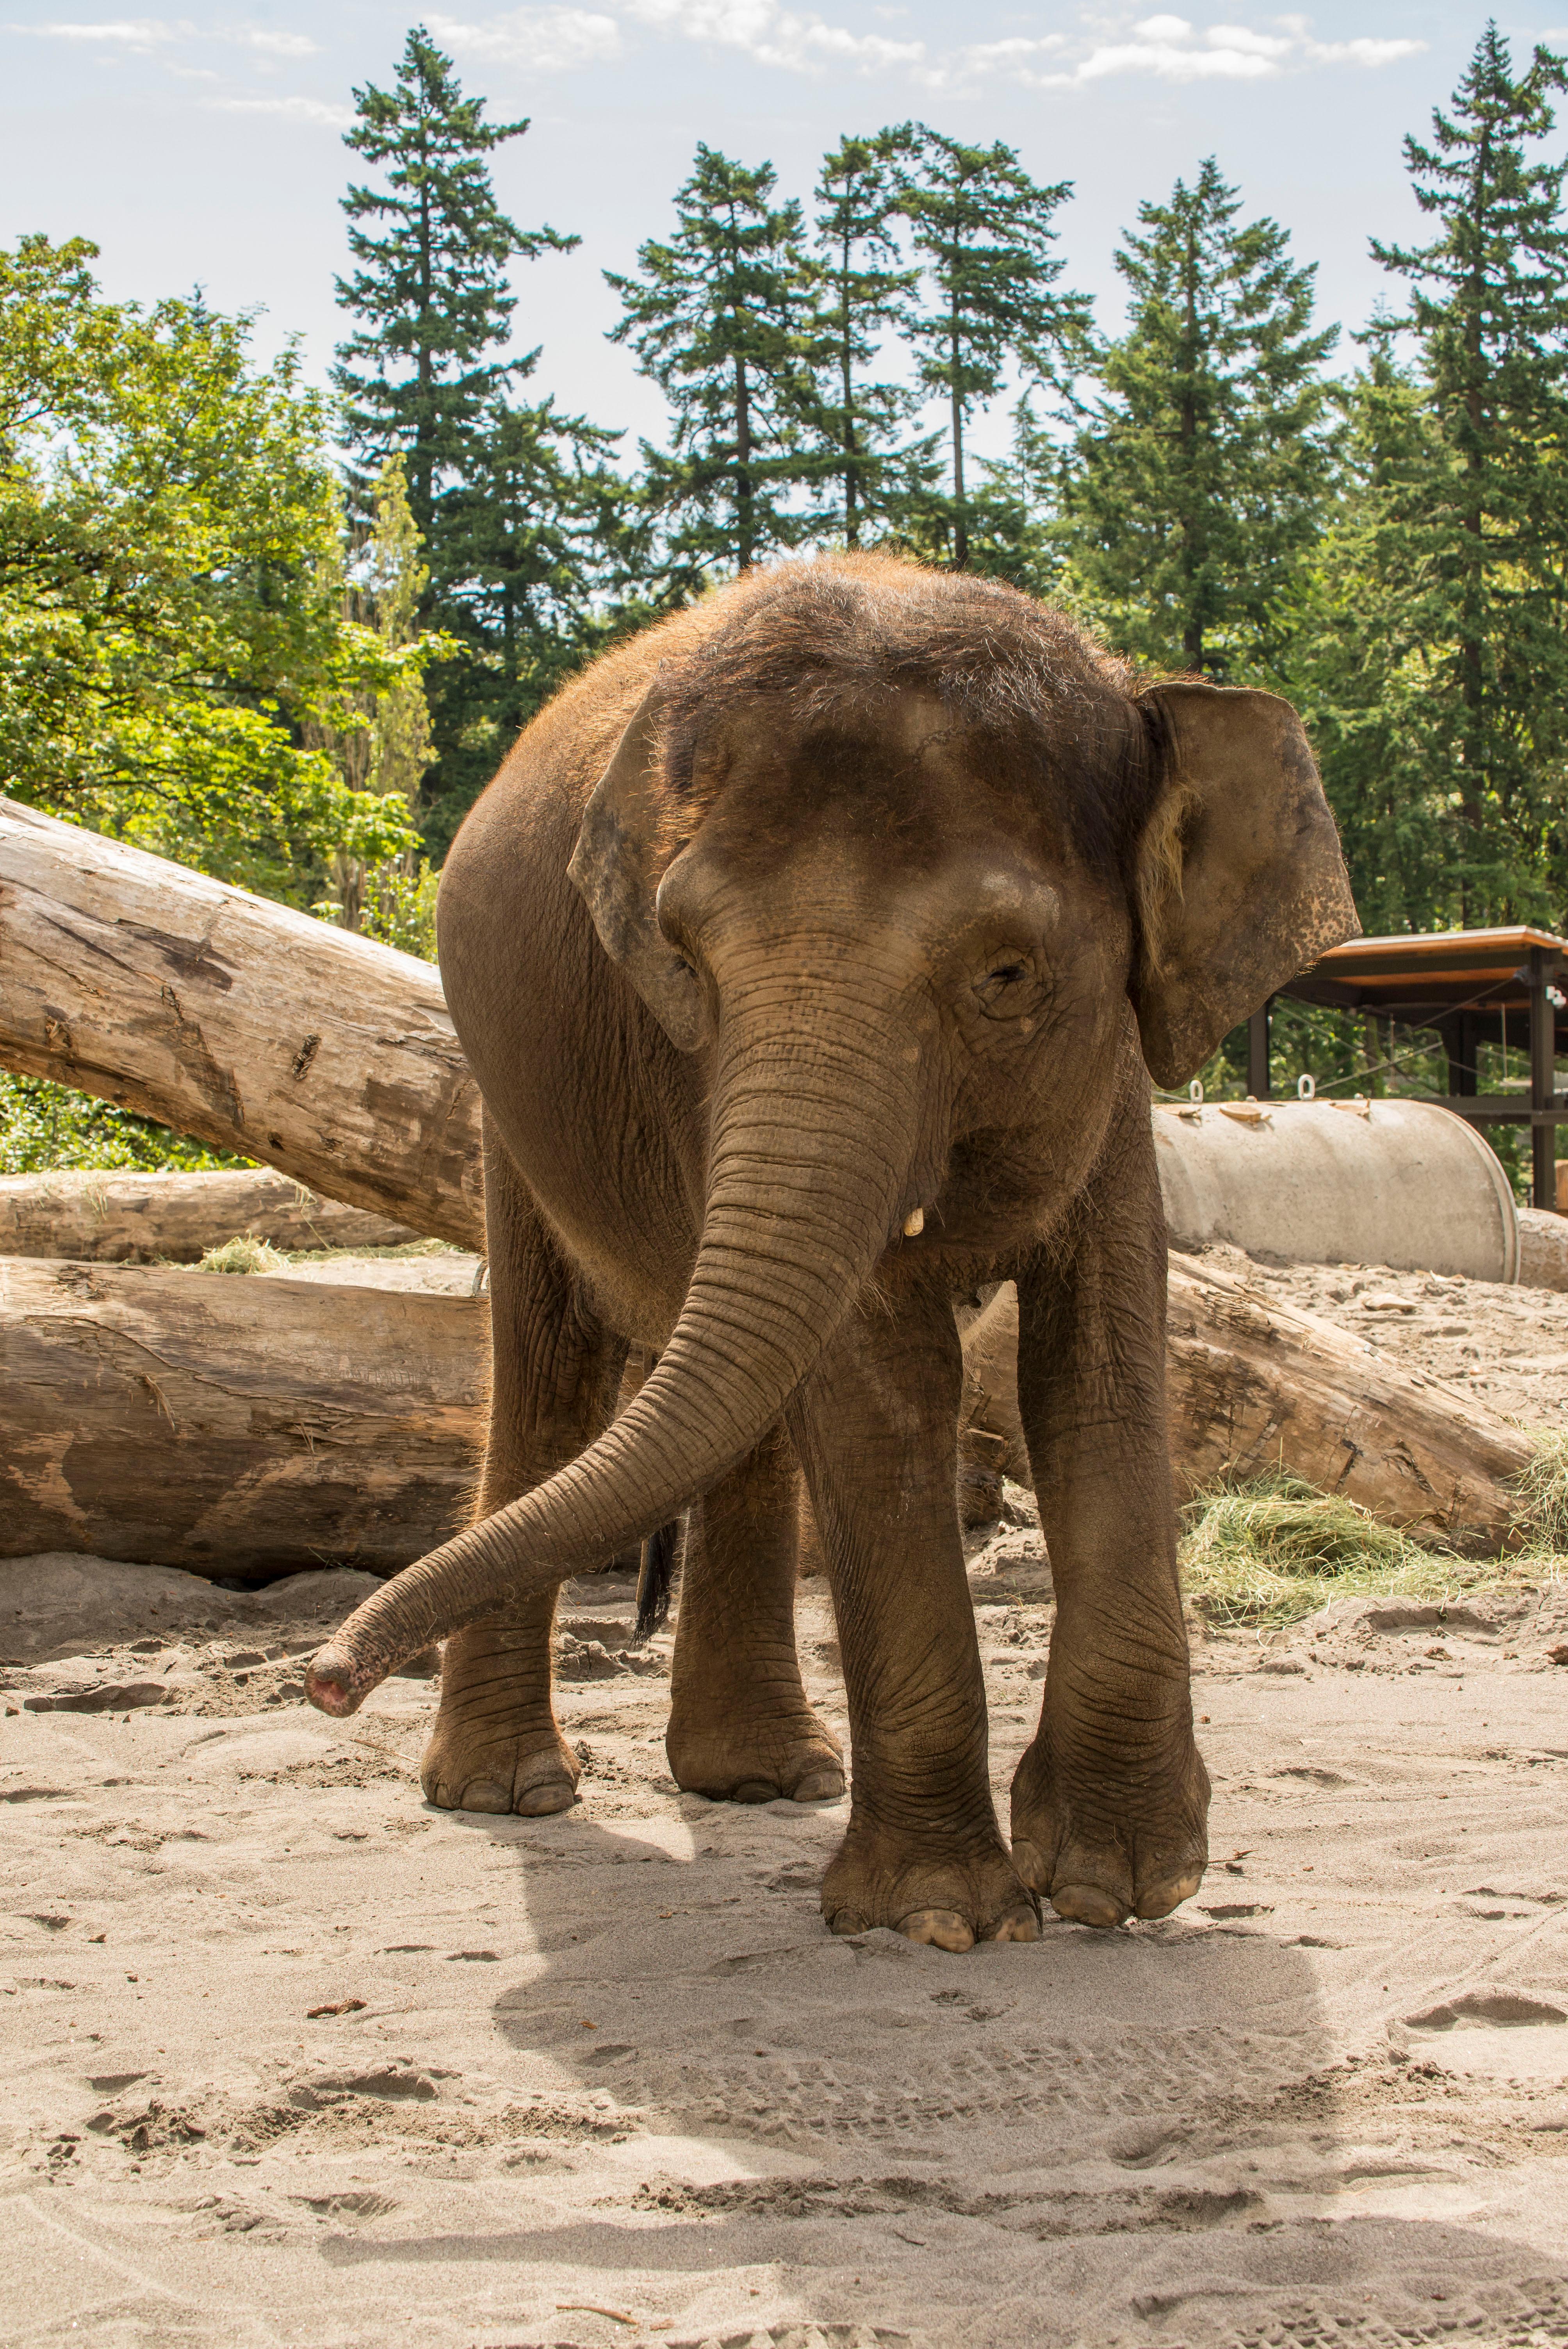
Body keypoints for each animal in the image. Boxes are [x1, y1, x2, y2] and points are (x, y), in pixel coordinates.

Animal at [310, 549, 1361, 1945]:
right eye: (681, 955)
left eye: (1009, 974)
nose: (322, 1677)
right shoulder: (689, 1061)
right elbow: (882, 1386)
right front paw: (947, 1918)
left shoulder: (1119, 1066)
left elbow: (1097, 1362)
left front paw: (1115, 1890)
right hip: (507, 1112)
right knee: (550, 1374)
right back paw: (509, 1794)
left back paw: (757, 1779)